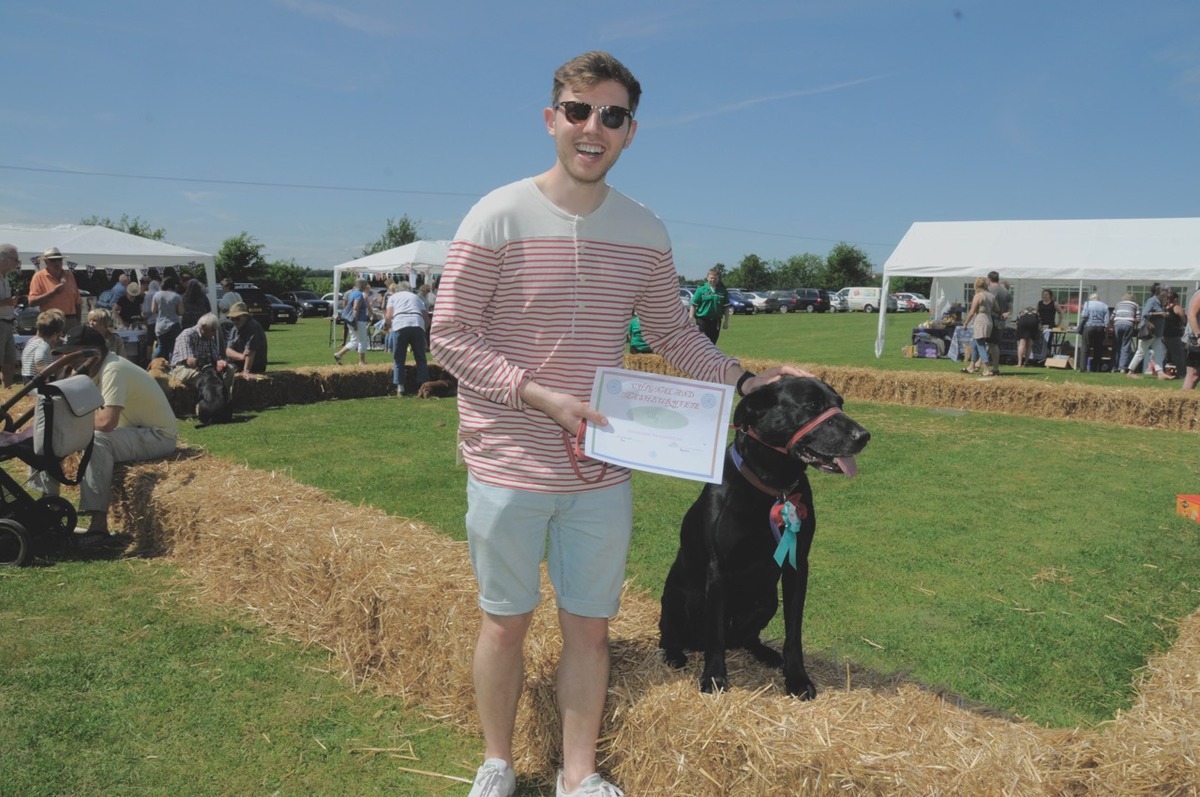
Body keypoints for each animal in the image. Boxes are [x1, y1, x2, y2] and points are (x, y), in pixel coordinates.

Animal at [662, 376, 868, 696]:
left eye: (840, 404)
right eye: (812, 405)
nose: (864, 436)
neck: (773, 484)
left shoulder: (797, 565)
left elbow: (793, 632)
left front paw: (797, 677)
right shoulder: (717, 567)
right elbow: (714, 634)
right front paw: (714, 676)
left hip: (767, 599)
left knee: (747, 638)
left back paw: (766, 654)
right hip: (678, 596)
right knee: (672, 632)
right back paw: (674, 653)